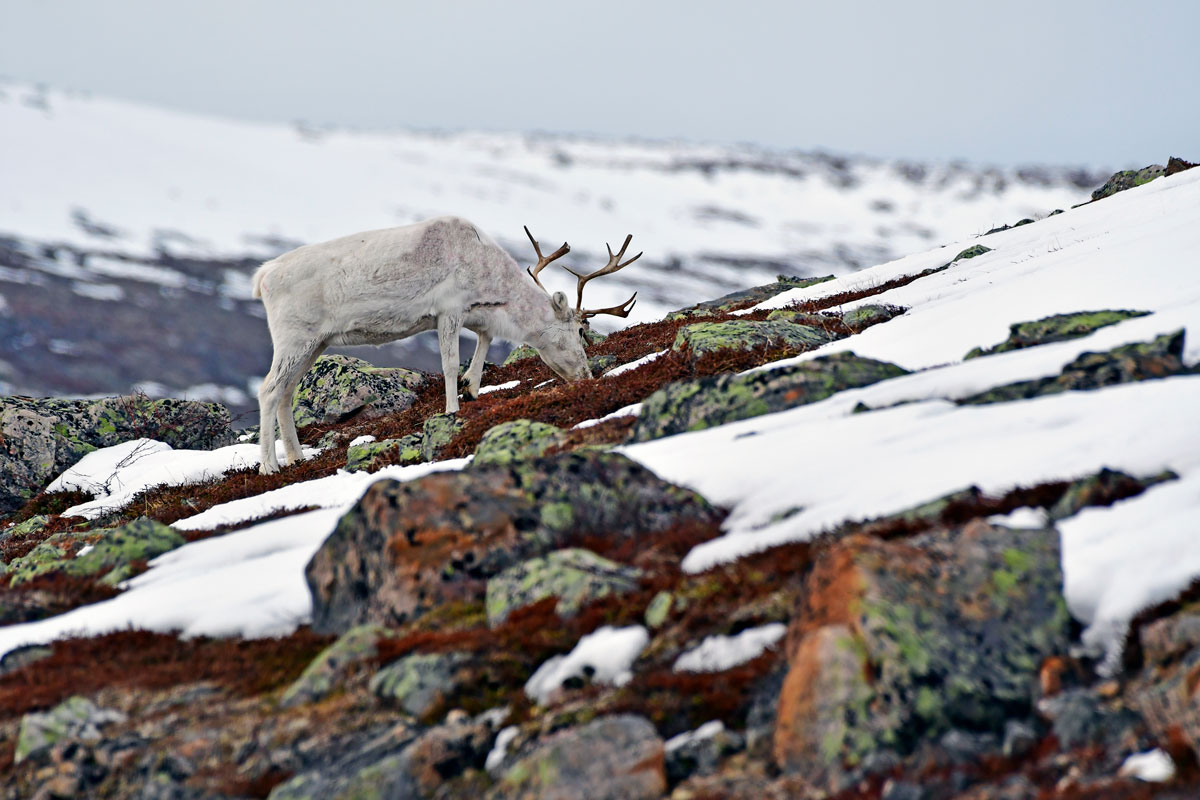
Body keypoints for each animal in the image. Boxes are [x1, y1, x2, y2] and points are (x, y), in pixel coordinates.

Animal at [251, 216, 641, 474]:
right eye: (580, 331)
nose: (587, 376)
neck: (492, 286)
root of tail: (262, 277)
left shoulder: (472, 312)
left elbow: (485, 339)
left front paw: (473, 386)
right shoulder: (448, 309)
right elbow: (450, 363)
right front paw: (453, 409)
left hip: (315, 342)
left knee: (287, 392)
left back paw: (297, 458)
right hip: (292, 336)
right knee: (268, 389)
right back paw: (269, 466)